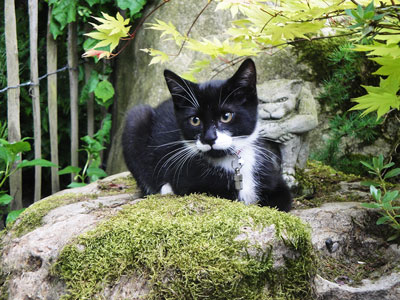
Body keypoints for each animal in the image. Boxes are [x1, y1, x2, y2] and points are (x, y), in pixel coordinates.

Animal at [120, 59, 292, 211]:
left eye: (226, 116)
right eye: (195, 120)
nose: (209, 138)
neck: (229, 162)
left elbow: (282, 200)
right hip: (135, 119)